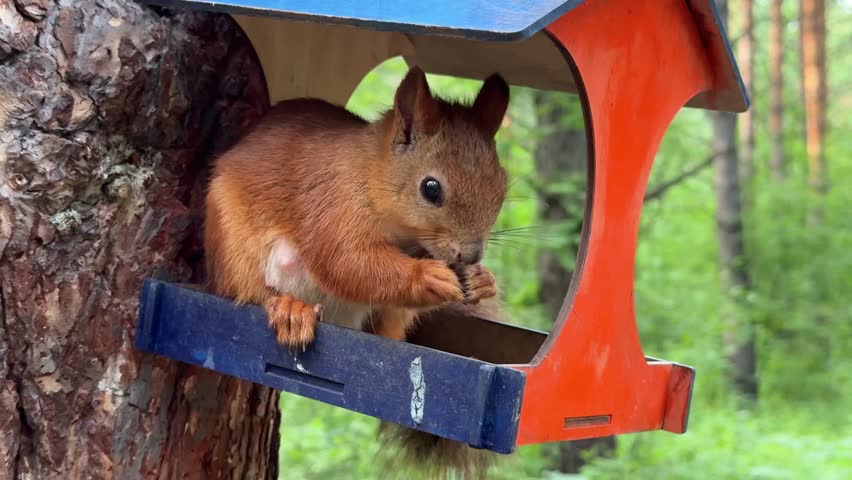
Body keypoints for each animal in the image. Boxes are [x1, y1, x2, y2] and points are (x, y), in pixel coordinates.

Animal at [203, 65, 509, 479]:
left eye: (501, 187)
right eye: (431, 188)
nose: (472, 254)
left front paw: (482, 280)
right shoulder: (333, 205)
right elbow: (349, 261)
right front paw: (427, 276)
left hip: (388, 316)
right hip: (235, 248)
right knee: (249, 291)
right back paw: (289, 310)